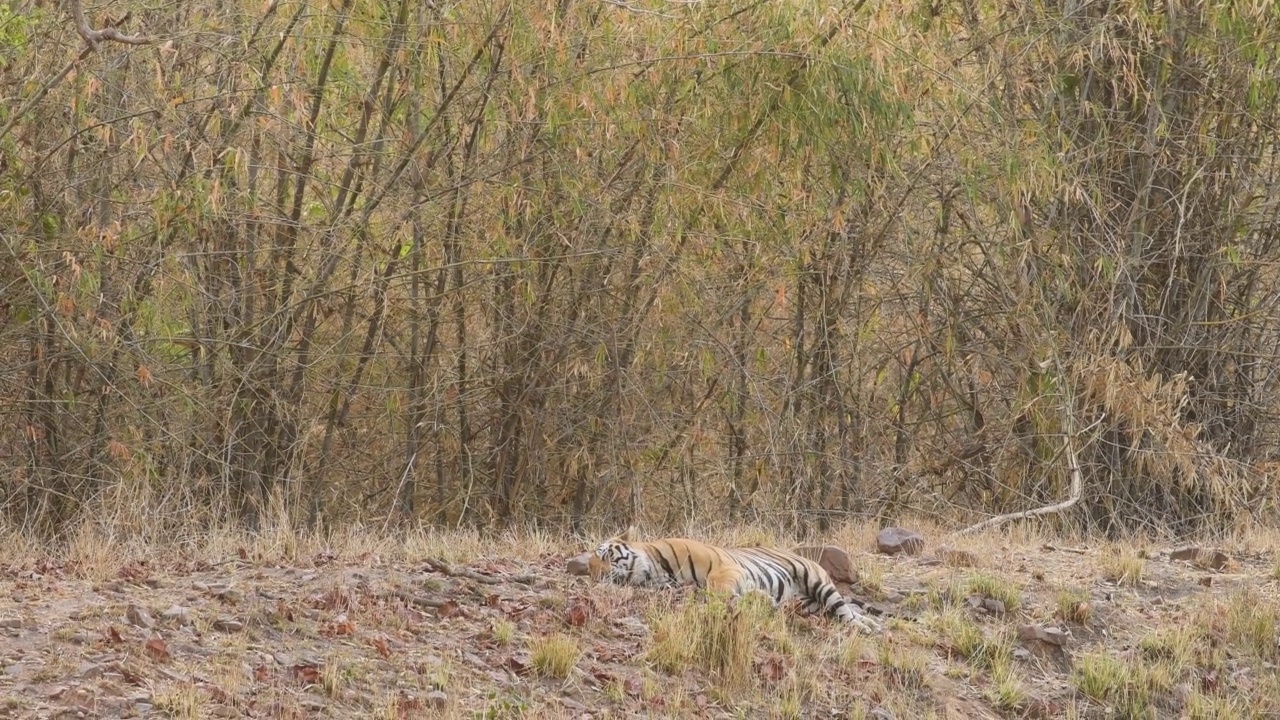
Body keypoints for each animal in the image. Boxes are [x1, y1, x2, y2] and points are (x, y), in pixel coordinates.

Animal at [586, 527, 880, 632]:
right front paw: (761, 600)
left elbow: (718, 586)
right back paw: (872, 624)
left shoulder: (723, 567)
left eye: (605, 556)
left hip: (817, 581)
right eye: (591, 568)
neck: (657, 571)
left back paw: (866, 628)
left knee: (845, 611)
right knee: (846, 610)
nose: (598, 575)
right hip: (810, 605)